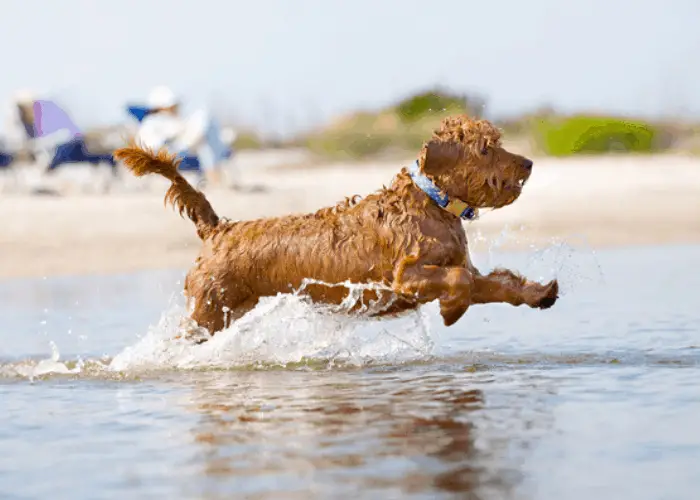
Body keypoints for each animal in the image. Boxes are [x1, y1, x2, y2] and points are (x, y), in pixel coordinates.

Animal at [117, 115, 560, 338]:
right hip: (208, 309)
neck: (431, 203)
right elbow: (459, 281)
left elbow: (495, 283)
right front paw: (452, 310)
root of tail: (216, 229)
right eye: (487, 148)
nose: (528, 163)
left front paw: (538, 293)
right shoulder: (406, 275)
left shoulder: (461, 267)